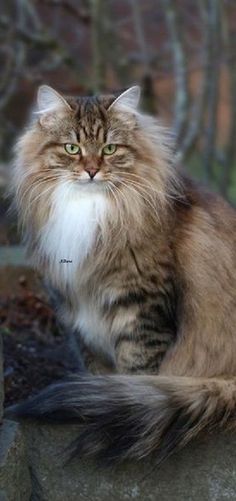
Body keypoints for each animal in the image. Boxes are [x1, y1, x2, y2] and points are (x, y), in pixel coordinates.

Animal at [7, 84, 236, 462]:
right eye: (72, 148)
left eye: (110, 149)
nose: (91, 170)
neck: (87, 211)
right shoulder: (74, 309)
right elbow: (95, 364)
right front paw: (93, 397)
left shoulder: (142, 304)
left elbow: (138, 367)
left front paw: (117, 399)